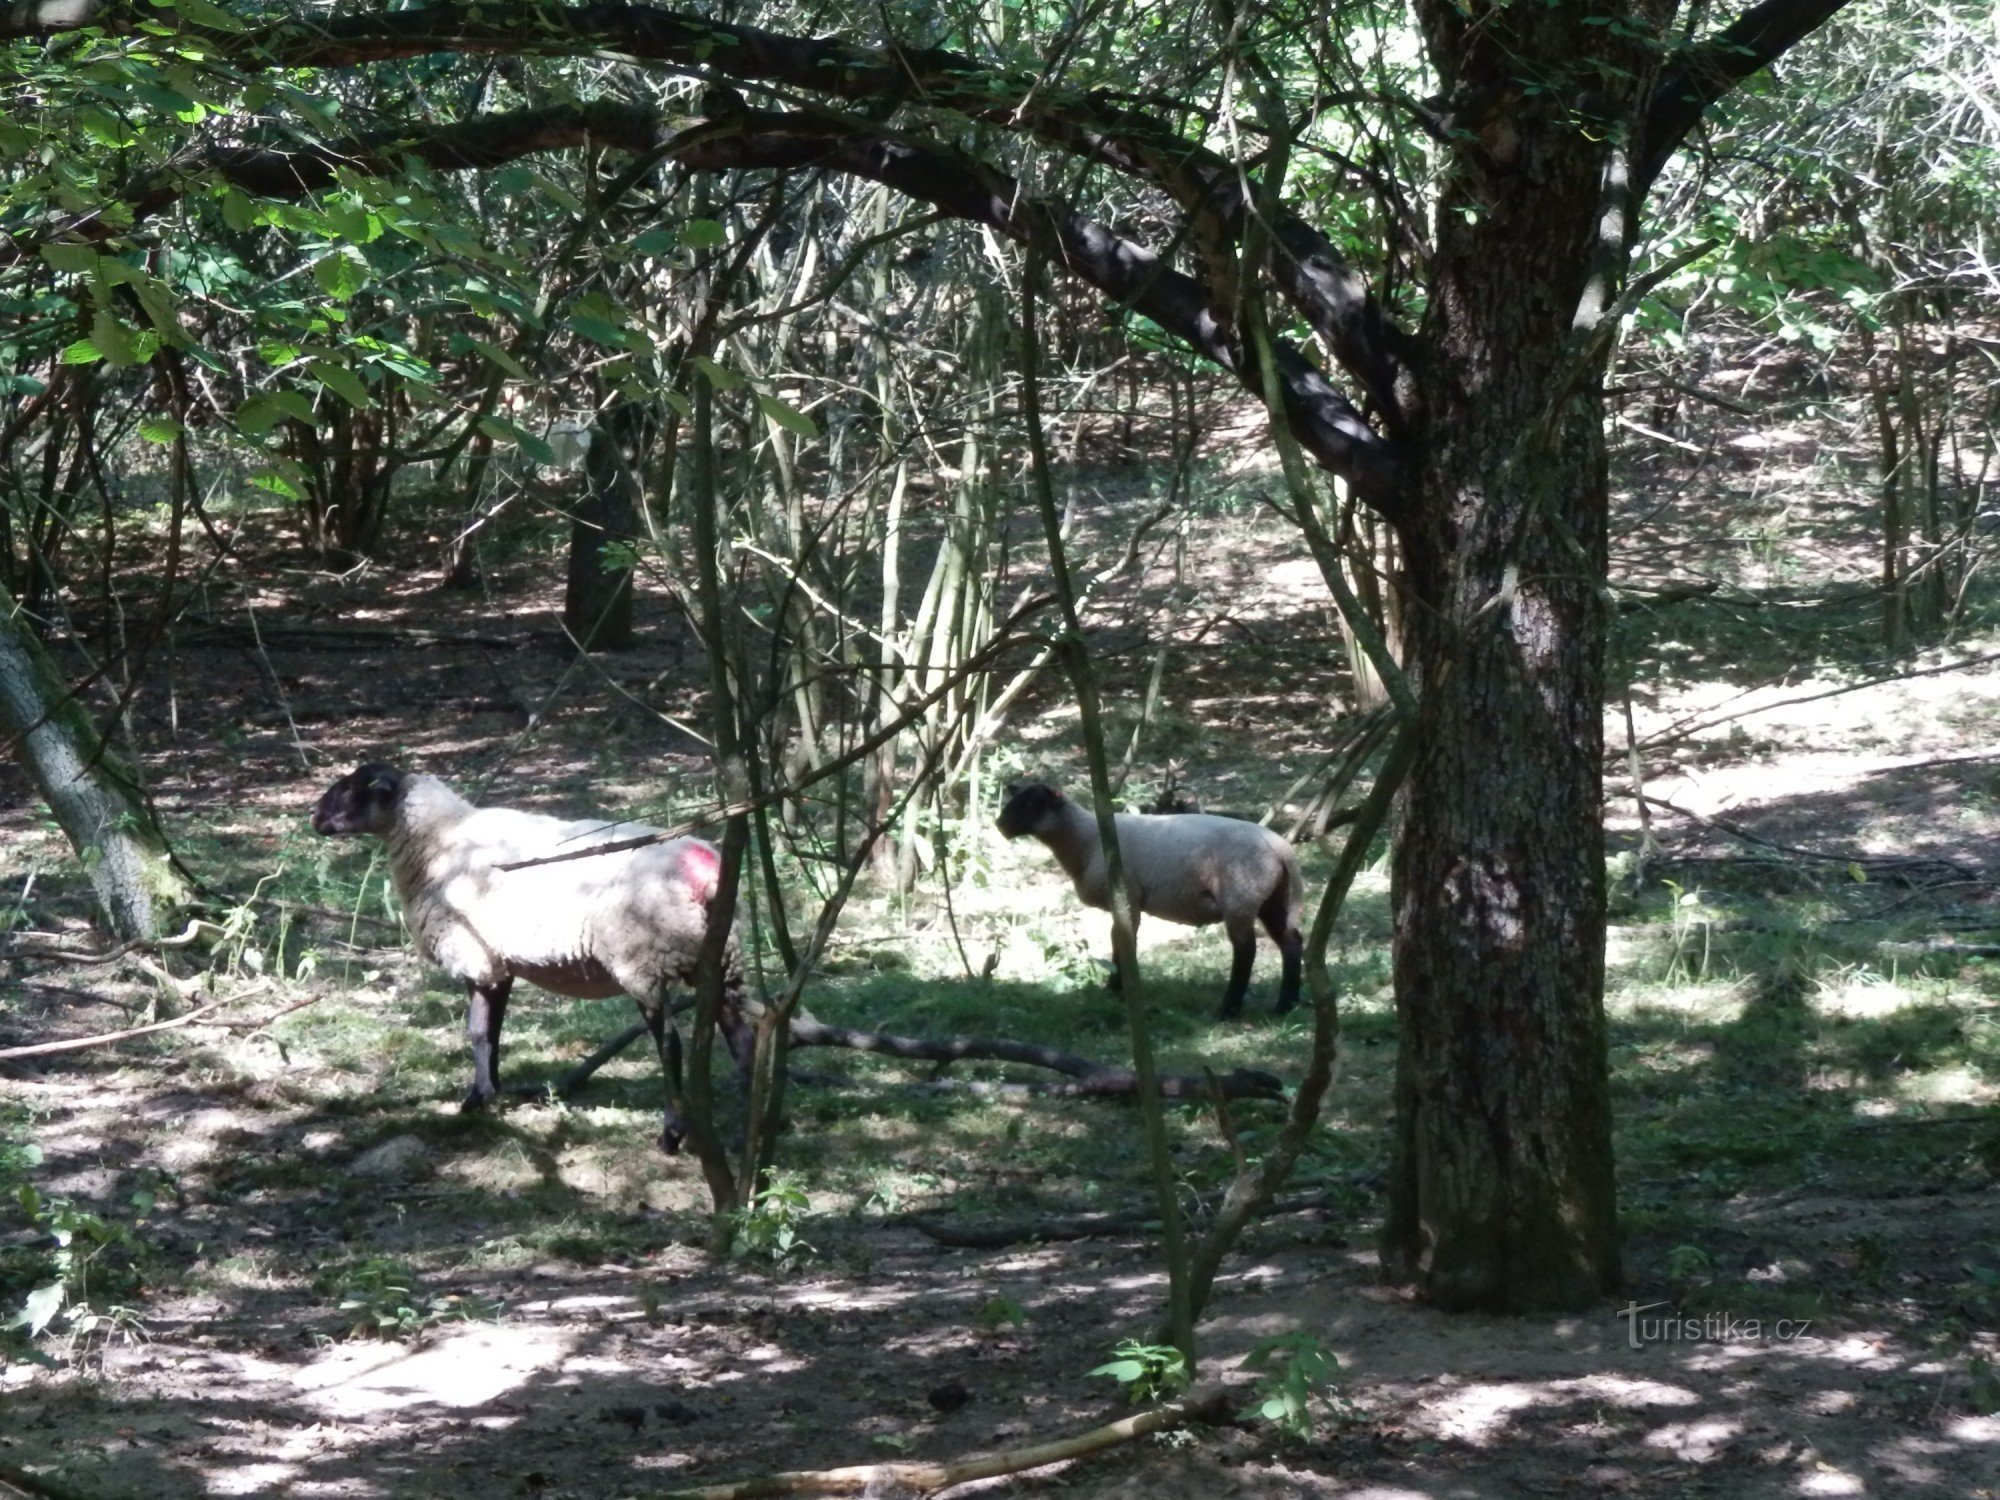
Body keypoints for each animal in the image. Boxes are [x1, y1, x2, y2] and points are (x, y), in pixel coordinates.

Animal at [312, 768, 752, 1160]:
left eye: (352, 786)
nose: (314, 816)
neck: (440, 839)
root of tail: (703, 870)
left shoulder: (475, 956)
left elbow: (477, 1031)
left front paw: (475, 1100)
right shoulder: (499, 963)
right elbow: (493, 1032)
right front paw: (491, 1090)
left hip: (642, 960)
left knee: (670, 1047)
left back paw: (672, 1134)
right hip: (721, 961)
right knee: (741, 1037)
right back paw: (752, 1118)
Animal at [992, 788, 1304, 1024]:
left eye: (1032, 803)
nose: (1000, 825)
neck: (1086, 840)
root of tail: (1283, 850)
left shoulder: (1128, 894)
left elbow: (1122, 938)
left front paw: (1118, 987)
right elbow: (1118, 938)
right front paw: (1114, 988)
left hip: (1241, 896)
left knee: (1246, 950)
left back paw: (1227, 1010)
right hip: (1273, 898)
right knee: (1291, 942)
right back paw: (1284, 1006)